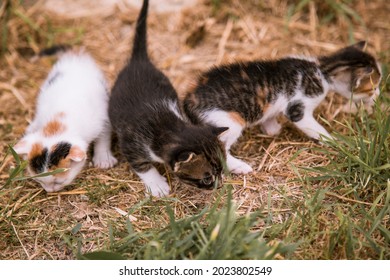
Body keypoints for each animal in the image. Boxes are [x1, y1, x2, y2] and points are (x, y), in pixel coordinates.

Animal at [14, 51, 117, 192]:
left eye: (58, 182)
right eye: (39, 181)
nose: (49, 191)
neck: (58, 122)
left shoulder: (103, 118)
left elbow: (103, 138)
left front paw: (103, 159)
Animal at [108, 0, 227, 197]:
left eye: (221, 170)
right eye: (206, 178)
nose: (219, 185)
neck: (169, 126)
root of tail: (139, 61)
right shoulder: (130, 143)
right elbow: (141, 165)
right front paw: (157, 185)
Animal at [183, 41, 380, 175]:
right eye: (373, 87)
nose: (378, 95)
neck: (322, 70)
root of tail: (188, 101)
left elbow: (270, 114)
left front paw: (272, 128)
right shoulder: (298, 108)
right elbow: (314, 127)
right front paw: (333, 141)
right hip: (226, 122)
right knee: (220, 148)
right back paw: (240, 167)